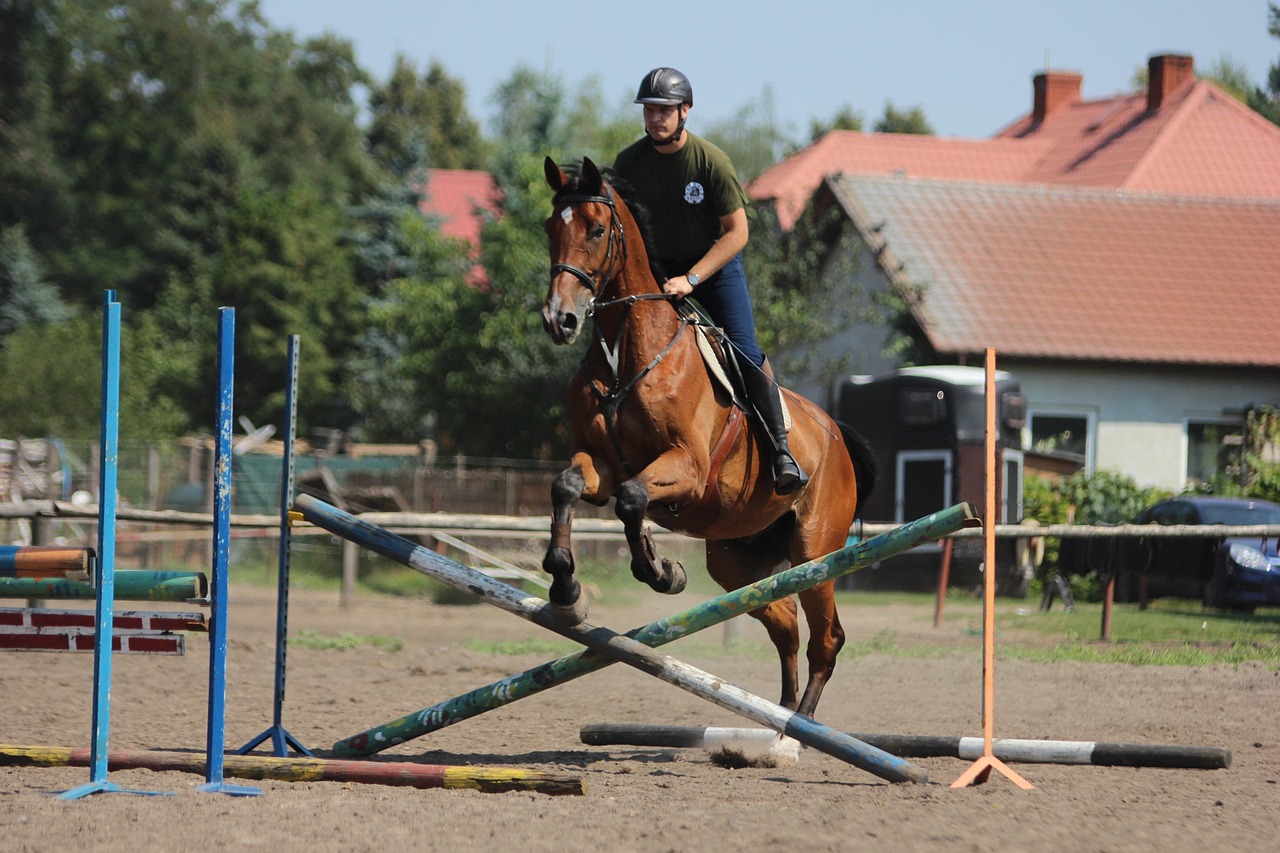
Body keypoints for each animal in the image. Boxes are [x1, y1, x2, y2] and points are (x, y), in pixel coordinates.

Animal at [539, 155, 875, 719]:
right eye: (550, 230)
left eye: (598, 229)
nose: (558, 320)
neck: (626, 354)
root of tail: (836, 434)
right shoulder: (603, 464)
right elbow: (568, 486)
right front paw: (565, 585)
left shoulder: (688, 469)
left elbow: (632, 500)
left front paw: (660, 570)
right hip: (734, 559)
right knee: (784, 621)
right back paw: (778, 718)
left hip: (815, 551)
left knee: (825, 638)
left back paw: (802, 724)